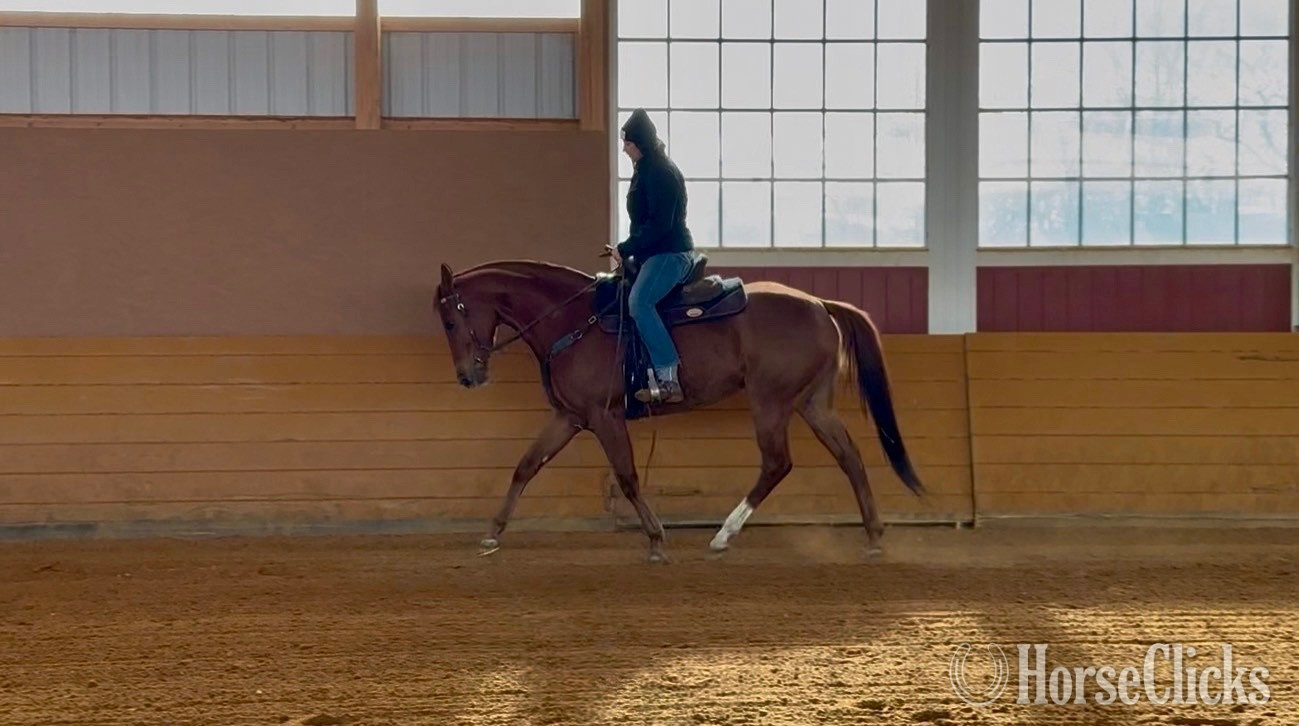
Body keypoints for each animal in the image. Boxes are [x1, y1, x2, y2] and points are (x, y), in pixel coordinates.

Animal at [434, 255, 925, 563]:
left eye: (452, 319)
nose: (467, 377)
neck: (571, 321)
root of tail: (820, 304)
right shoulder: (570, 417)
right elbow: (526, 466)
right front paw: (492, 533)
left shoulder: (604, 417)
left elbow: (628, 478)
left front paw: (655, 540)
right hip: (812, 402)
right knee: (850, 457)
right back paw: (873, 537)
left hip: (771, 400)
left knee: (777, 463)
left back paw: (723, 535)